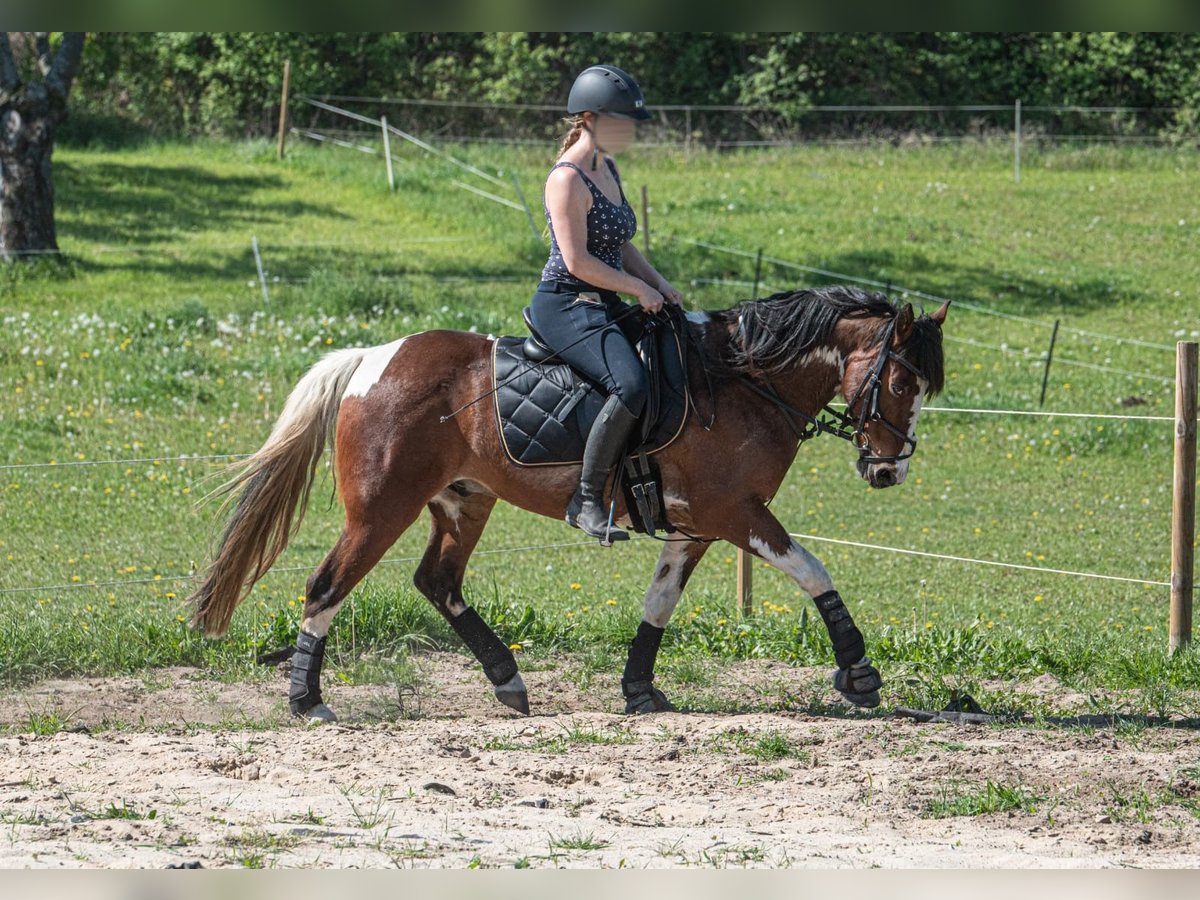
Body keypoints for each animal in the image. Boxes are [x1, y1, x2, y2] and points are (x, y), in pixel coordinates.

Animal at [189, 289, 945, 724]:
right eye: (900, 381)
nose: (889, 469)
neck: (742, 382)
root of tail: (373, 357)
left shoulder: (696, 525)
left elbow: (658, 603)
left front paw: (639, 689)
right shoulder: (735, 512)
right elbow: (814, 571)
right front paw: (859, 673)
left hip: (464, 502)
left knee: (438, 581)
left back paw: (508, 681)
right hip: (380, 512)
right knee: (327, 585)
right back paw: (307, 700)